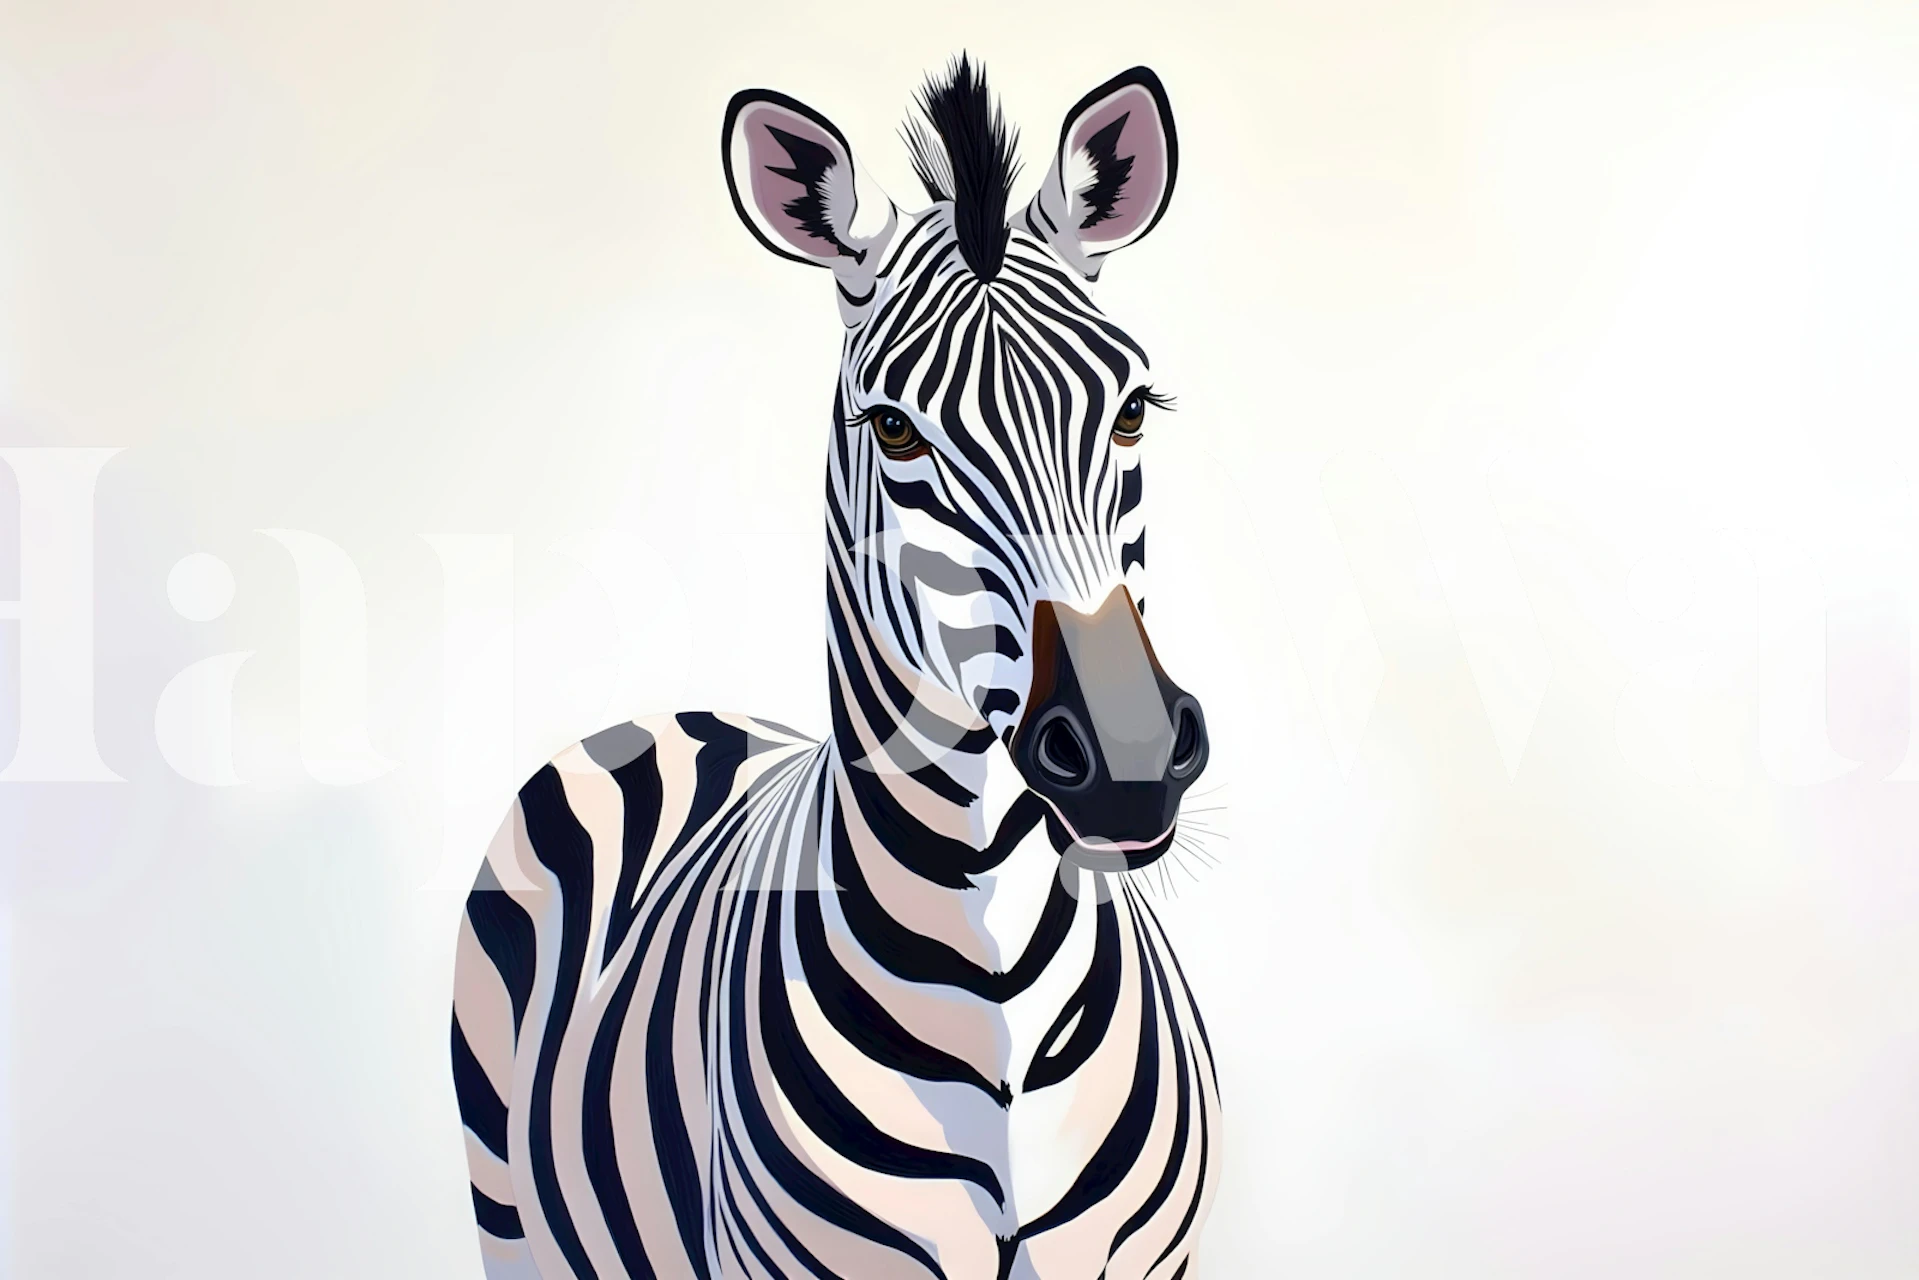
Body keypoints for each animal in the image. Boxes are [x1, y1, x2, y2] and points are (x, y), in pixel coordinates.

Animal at [452, 57, 1220, 1280]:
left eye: (1134, 410)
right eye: (894, 431)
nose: (1130, 759)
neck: (999, 976)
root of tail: (667, 718)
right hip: (513, 1221)